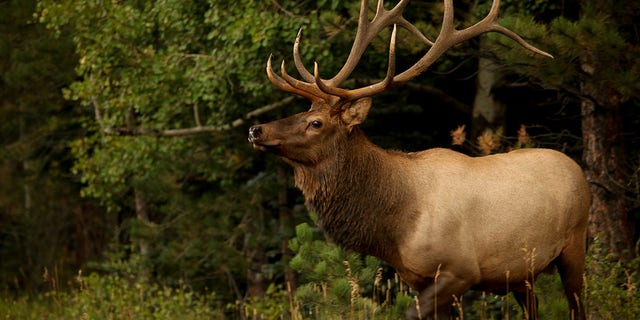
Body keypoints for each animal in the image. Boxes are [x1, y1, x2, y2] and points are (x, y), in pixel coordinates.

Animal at [248, 1, 588, 318]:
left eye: (315, 123)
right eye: (302, 111)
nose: (255, 129)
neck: (395, 227)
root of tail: (577, 168)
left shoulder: (461, 270)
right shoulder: (417, 278)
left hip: (574, 243)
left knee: (577, 304)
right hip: (521, 273)